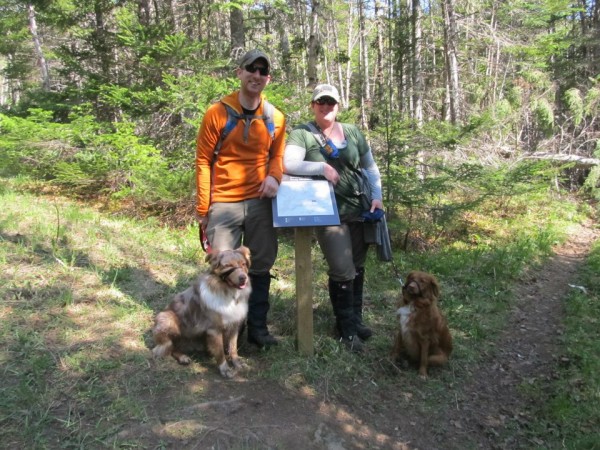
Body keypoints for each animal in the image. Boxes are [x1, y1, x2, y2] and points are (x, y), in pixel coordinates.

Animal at [152, 248, 253, 378]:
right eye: (228, 266)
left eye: (243, 264)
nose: (243, 278)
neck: (229, 293)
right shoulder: (214, 330)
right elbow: (220, 352)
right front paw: (225, 369)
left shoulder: (234, 326)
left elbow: (233, 348)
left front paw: (237, 364)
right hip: (167, 319)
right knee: (167, 347)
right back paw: (183, 357)